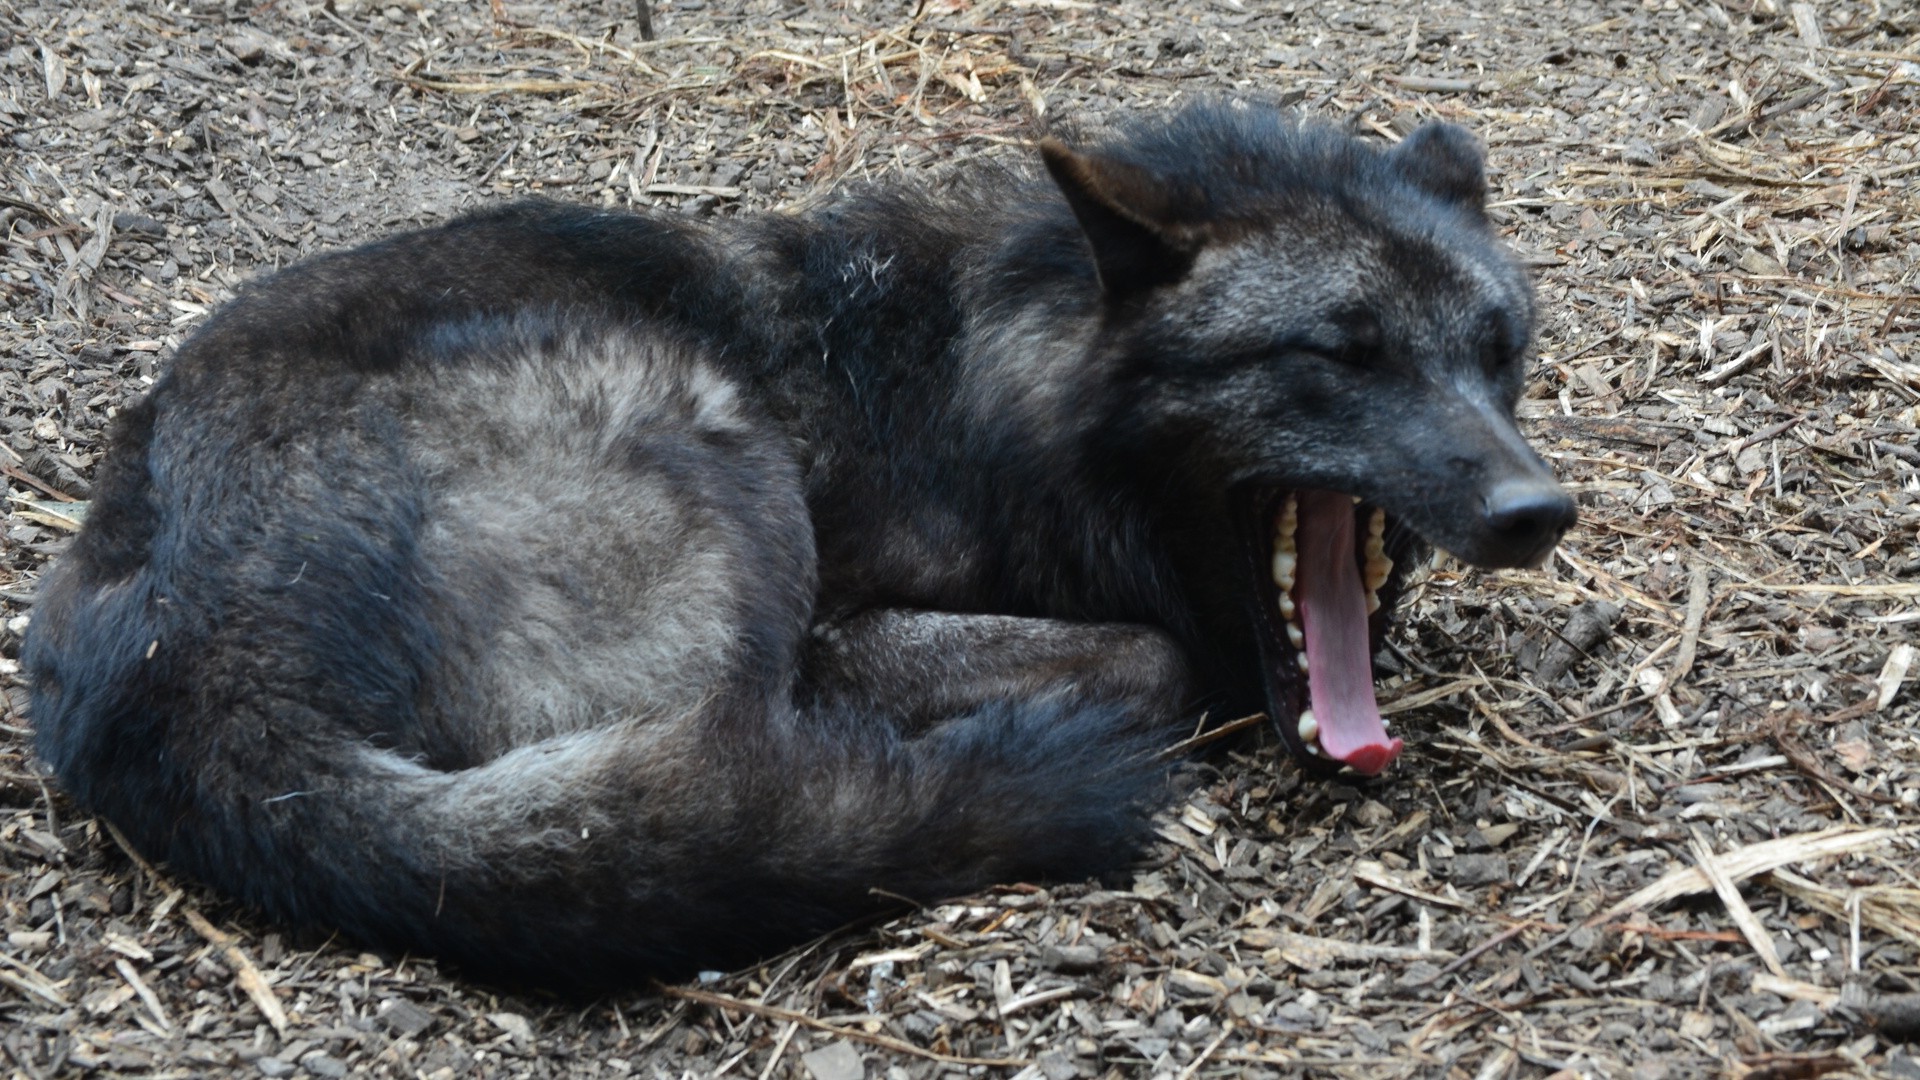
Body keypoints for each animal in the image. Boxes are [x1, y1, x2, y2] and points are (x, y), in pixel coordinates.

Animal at [25, 102, 1573, 987]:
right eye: (1340, 357)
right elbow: (1154, 658)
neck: (991, 383)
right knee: (746, 783)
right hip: (712, 446)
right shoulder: (853, 626)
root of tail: (187, 671)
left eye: (1497, 351)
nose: (1535, 513)